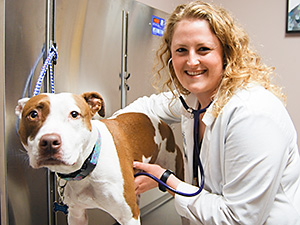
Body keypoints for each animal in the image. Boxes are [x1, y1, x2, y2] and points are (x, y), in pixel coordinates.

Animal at [15, 92, 184, 225]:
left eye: (74, 114)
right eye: (33, 114)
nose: (50, 141)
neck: (87, 166)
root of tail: (162, 123)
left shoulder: (129, 216)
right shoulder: (76, 215)